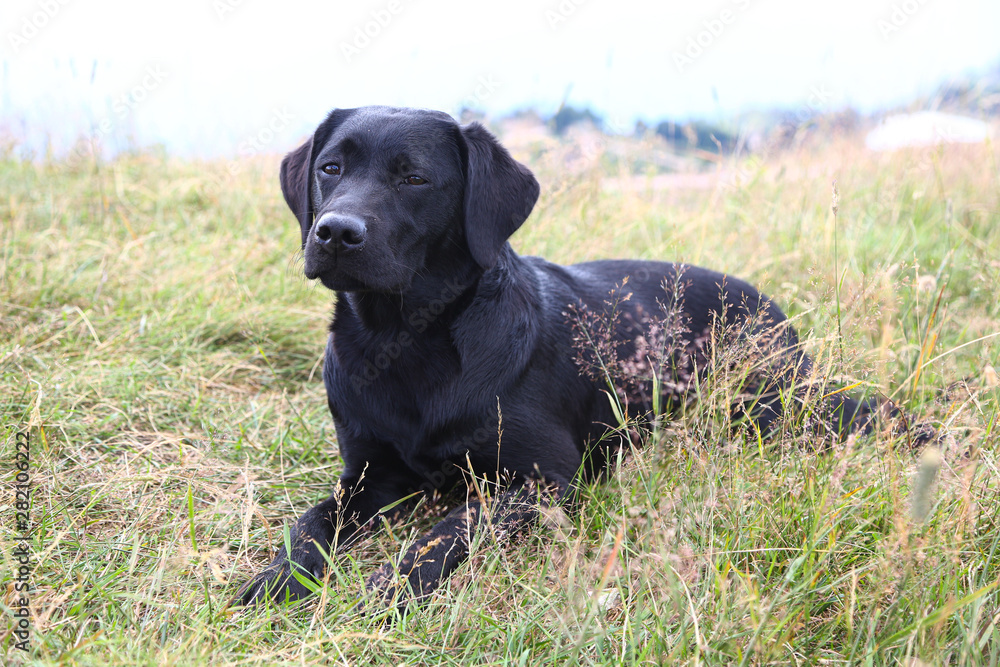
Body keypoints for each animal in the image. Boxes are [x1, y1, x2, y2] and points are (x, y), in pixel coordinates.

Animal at [236, 105, 900, 612]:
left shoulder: (544, 478)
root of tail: (769, 303)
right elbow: (310, 523)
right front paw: (276, 578)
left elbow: (447, 532)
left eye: (414, 179)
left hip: (770, 403)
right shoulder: (367, 474)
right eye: (331, 168)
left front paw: (390, 587)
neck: (405, 343)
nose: (334, 232)